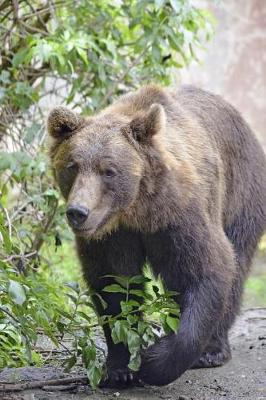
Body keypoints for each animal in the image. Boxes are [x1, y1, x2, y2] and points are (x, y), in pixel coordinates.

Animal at [47, 85, 266, 388]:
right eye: (72, 165)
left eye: (109, 170)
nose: (78, 212)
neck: (138, 211)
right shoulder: (112, 238)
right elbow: (114, 286)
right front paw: (119, 368)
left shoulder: (182, 217)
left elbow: (207, 269)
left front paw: (153, 361)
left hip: (242, 192)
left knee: (237, 263)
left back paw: (213, 350)